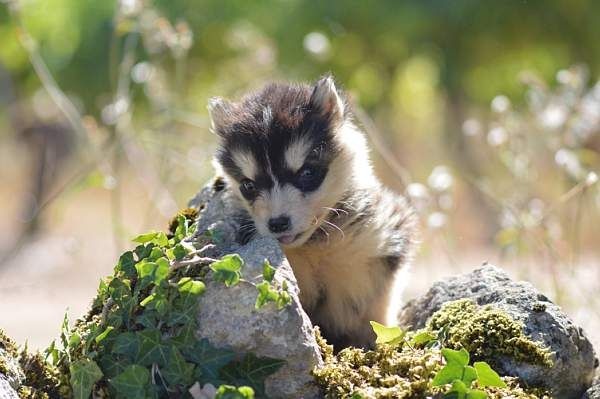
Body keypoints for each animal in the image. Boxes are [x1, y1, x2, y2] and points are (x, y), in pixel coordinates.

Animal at [210, 76, 418, 348]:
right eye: (248, 185)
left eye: (307, 173)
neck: (314, 245)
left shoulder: (380, 244)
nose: (278, 223)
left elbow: (378, 315)